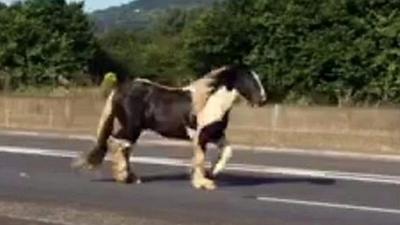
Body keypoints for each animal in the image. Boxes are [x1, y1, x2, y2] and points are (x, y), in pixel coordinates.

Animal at [73, 64, 268, 190]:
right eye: (248, 79)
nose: (263, 100)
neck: (210, 102)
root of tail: (119, 90)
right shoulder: (202, 136)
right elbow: (199, 158)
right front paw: (203, 183)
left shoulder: (216, 134)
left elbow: (227, 152)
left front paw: (212, 172)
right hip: (131, 127)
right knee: (116, 143)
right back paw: (123, 176)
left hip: (134, 130)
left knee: (124, 147)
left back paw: (131, 178)